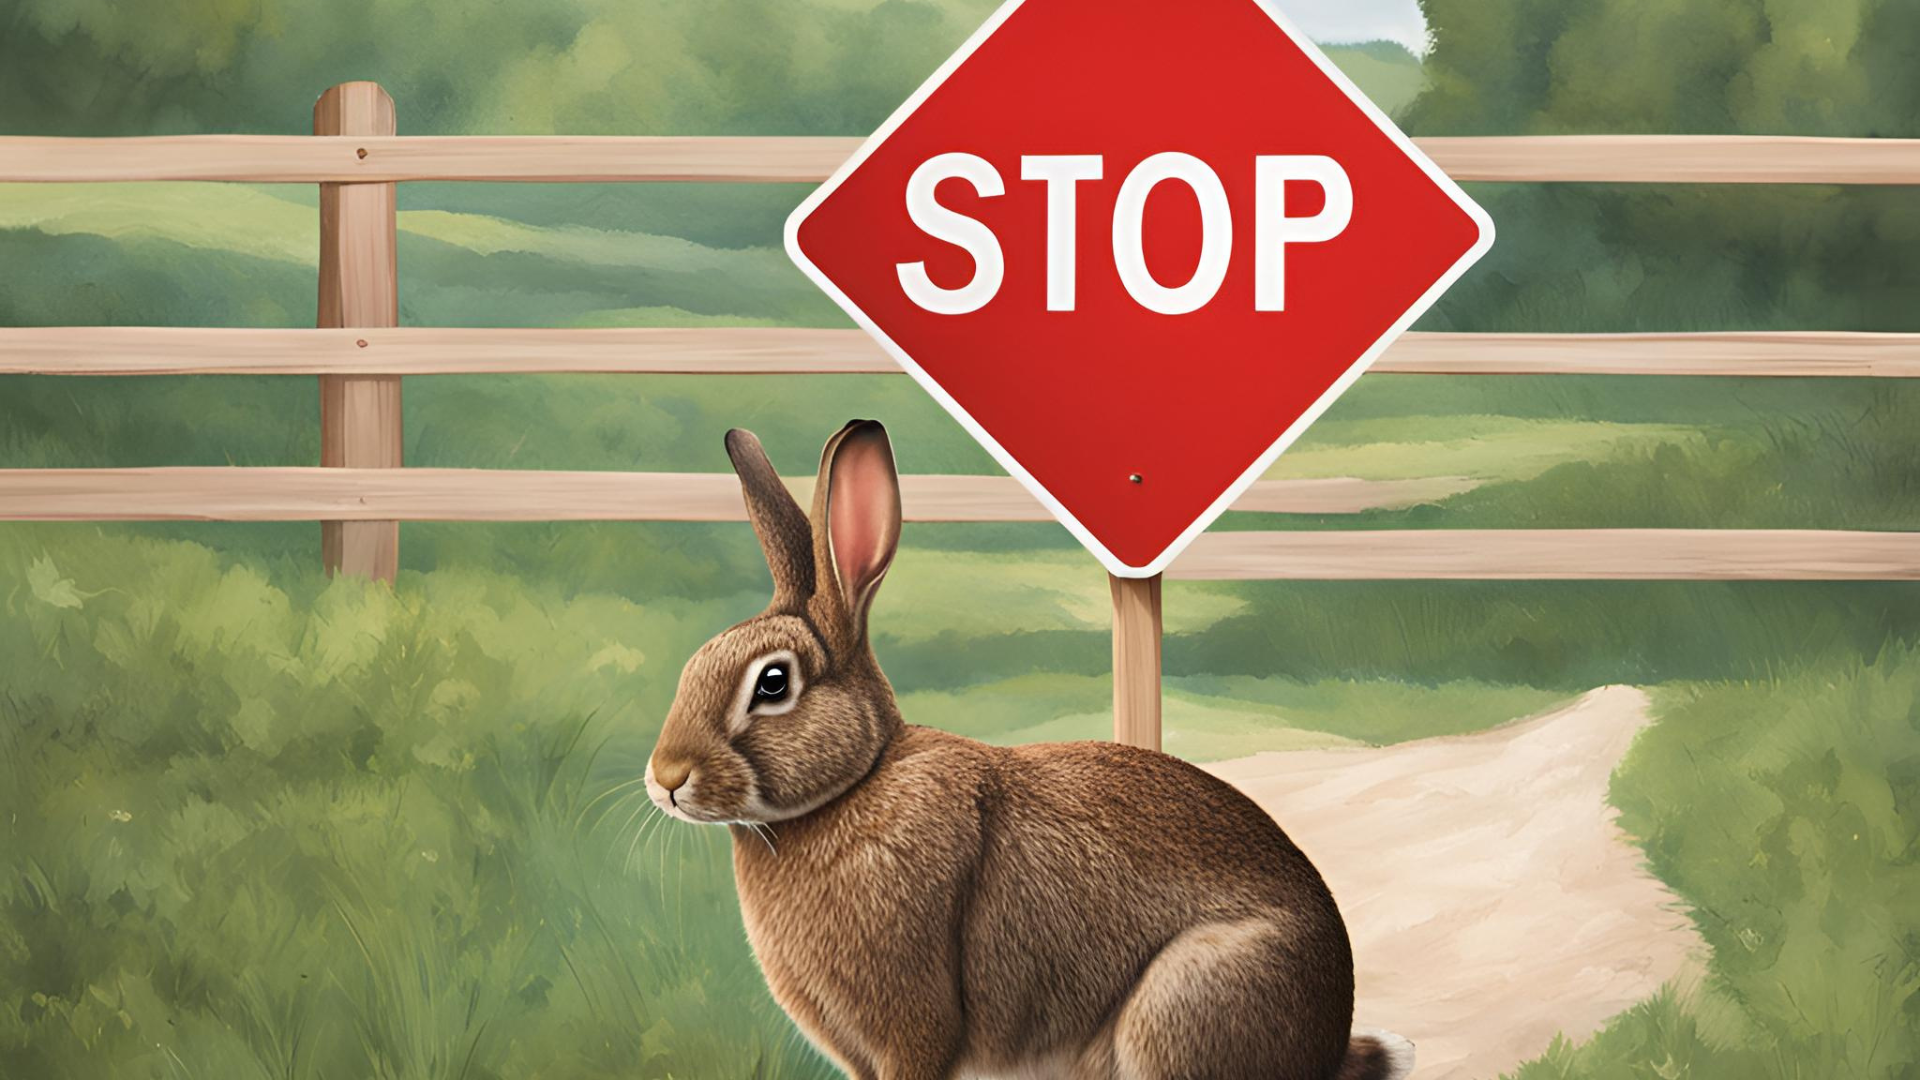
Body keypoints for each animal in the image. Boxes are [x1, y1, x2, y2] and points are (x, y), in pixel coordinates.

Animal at [646, 419, 1413, 1080]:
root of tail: (1329, 1041)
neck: (855, 786)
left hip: (1183, 1004)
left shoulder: (917, 1029)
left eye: (773, 684)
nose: (665, 779)